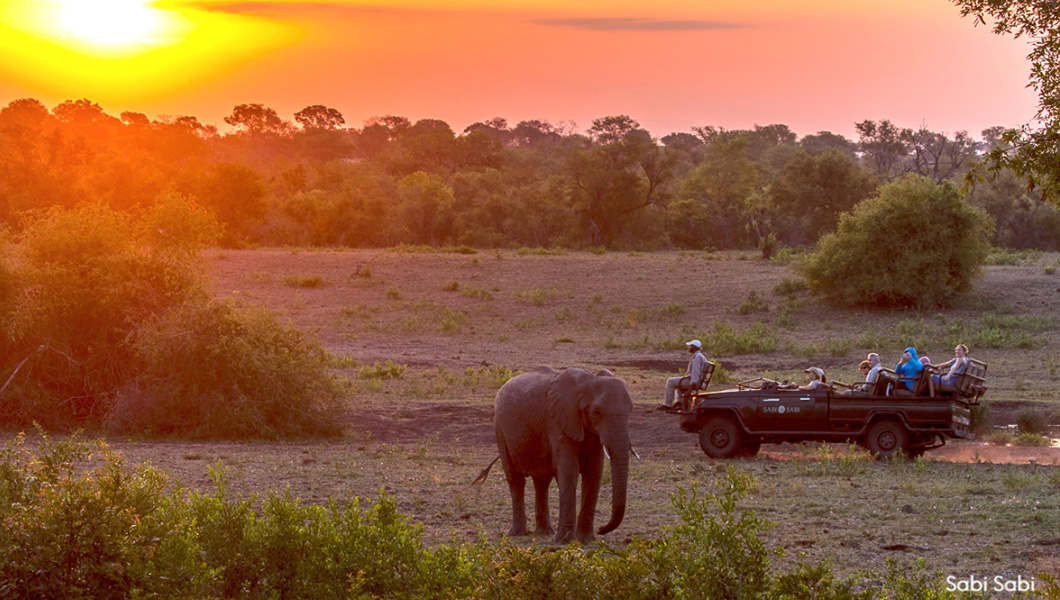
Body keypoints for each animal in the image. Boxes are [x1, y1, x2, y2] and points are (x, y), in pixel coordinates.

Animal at [489, 366, 631, 546]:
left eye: (630, 410)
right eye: (596, 412)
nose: (601, 529)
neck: (587, 382)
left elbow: (594, 473)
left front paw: (586, 540)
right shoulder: (557, 421)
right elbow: (569, 471)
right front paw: (566, 542)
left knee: (542, 482)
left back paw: (544, 532)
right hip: (500, 430)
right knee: (516, 480)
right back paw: (518, 534)